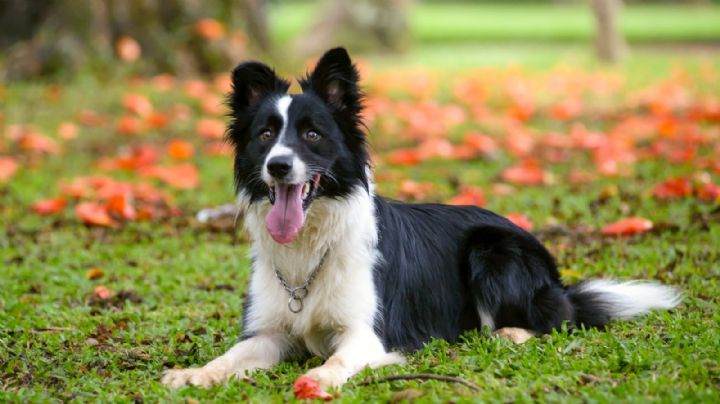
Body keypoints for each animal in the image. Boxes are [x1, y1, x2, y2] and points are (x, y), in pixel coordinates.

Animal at [162, 47, 680, 392]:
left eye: (311, 134)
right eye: (266, 135)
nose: (279, 166)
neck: (312, 244)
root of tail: (555, 276)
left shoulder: (368, 334)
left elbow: (337, 362)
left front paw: (318, 379)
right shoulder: (269, 333)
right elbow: (230, 355)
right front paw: (194, 373)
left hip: (492, 250)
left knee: (554, 320)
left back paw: (509, 333)